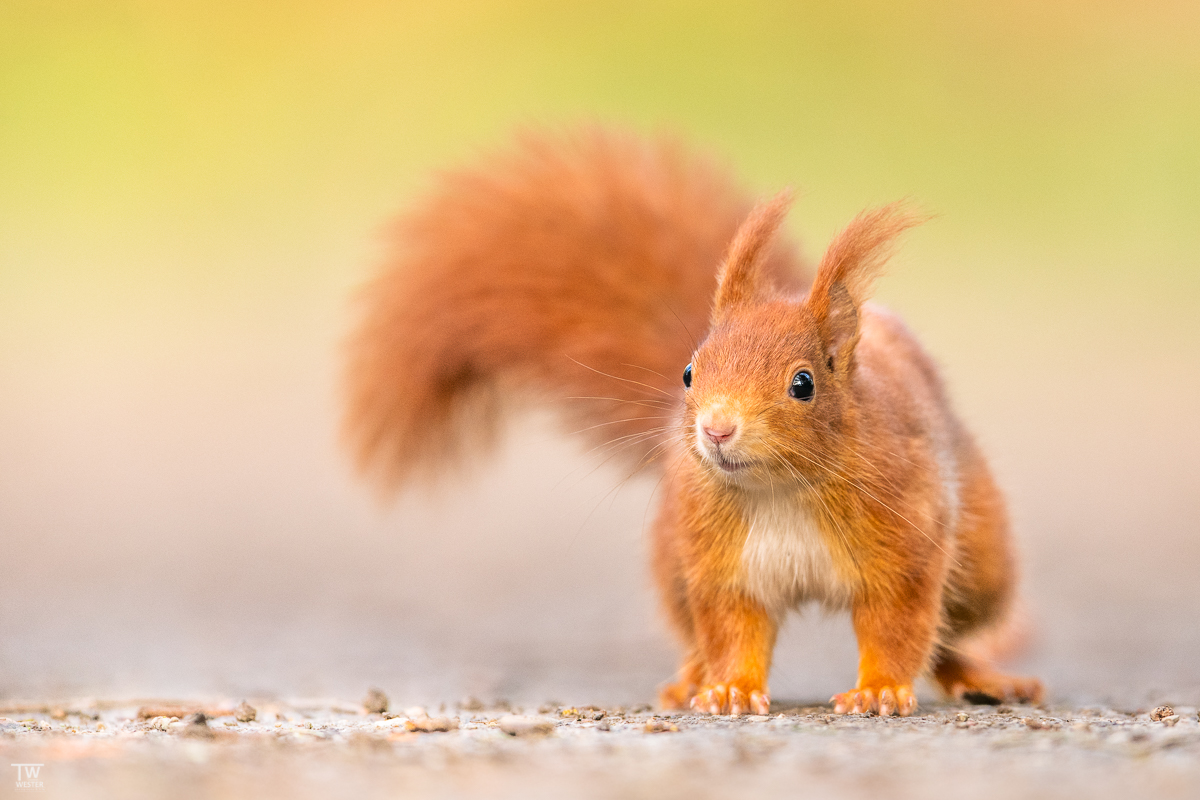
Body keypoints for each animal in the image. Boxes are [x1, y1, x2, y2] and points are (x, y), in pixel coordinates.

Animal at [345, 126, 1041, 719]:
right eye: (688, 372)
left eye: (804, 384)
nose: (716, 429)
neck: (782, 490)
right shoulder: (715, 557)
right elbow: (731, 629)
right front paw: (729, 689)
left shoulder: (906, 535)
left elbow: (900, 623)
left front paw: (880, 691)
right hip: (670, 560)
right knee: (691, 632)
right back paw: (688, 679)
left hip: (980, 561)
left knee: (953, 627)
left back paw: (981, 677)